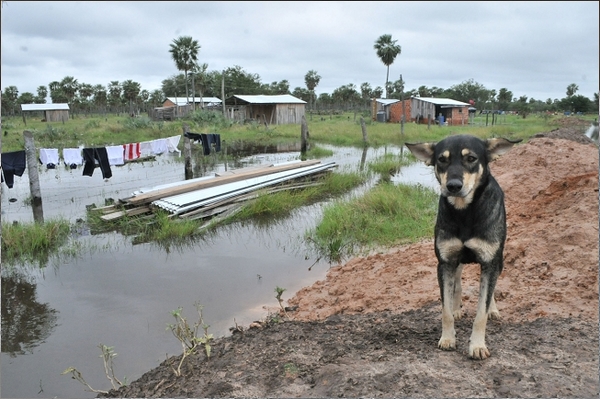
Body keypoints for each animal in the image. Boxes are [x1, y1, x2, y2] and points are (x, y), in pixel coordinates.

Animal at [406, 134, 524, 360]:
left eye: (471, 158)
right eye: (442, 160)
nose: (453, 185)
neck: (465, 212)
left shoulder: (490, 263)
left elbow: (481, 312)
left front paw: (477, 345)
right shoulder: (445, 262)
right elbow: (445, 309)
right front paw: (448, 337)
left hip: (498, 261)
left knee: (490, 291)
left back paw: (493, 309)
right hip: (456, 262)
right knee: (457, 283)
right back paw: (456, 306)